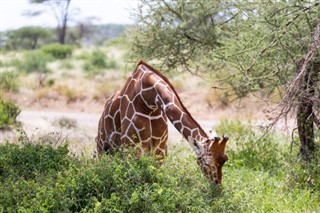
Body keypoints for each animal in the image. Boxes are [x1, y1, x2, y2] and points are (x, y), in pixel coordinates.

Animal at [96, 60, 229, 184]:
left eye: (225, 159)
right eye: (207, 163)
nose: (217, 185)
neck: (147, 100)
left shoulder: (161, 148)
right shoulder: (133, 147)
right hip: (103, 148)